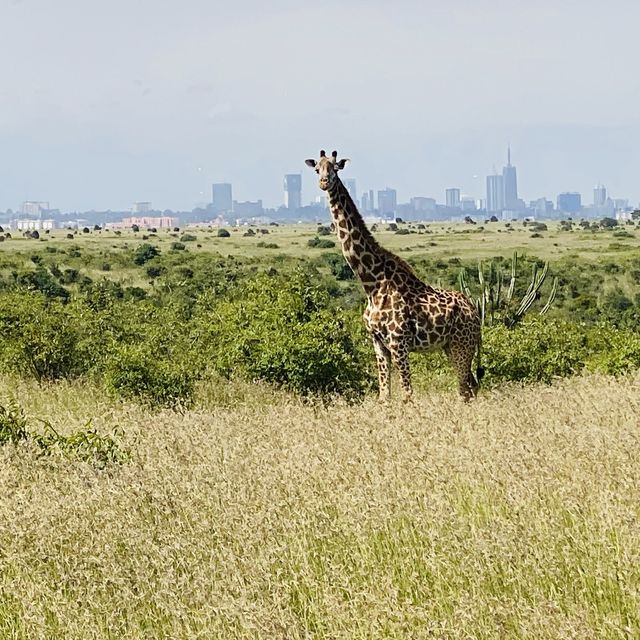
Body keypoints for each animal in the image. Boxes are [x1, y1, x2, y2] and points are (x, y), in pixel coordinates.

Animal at [308, 150, 482, 400]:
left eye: (335, 168)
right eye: (317, 169)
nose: (323, 182)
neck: (371, 283)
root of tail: (475, 313)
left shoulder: (398, 342)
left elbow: (408, 394)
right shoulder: (378, 343)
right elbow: (384, 395)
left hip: (462, 346)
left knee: (464, 389)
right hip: (451, 346)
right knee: (471, 387)